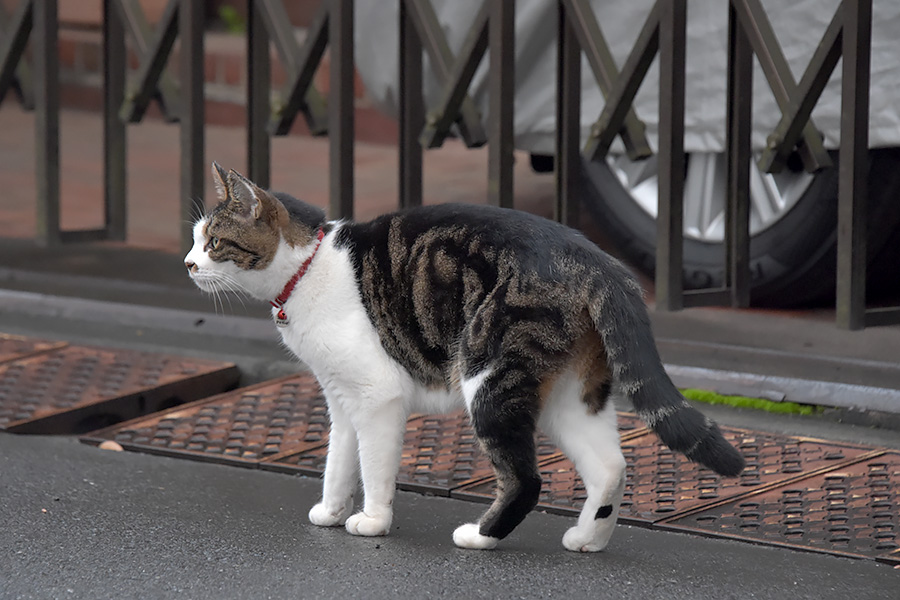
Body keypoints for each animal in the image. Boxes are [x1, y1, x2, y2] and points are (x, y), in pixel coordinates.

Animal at [185, 164, 744, 552]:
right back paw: (587, 541)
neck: (309, 268)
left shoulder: (377, 397)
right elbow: (339, 460)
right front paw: (330, 509)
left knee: (526, 480)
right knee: (610, 466)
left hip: (491, 378)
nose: (187, 263)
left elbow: (375, 467)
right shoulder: (342, 399)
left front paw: (373, 521)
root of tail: (594, 258)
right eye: (194, 239)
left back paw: (481, 536)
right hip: (569, 396)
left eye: (213, 242)